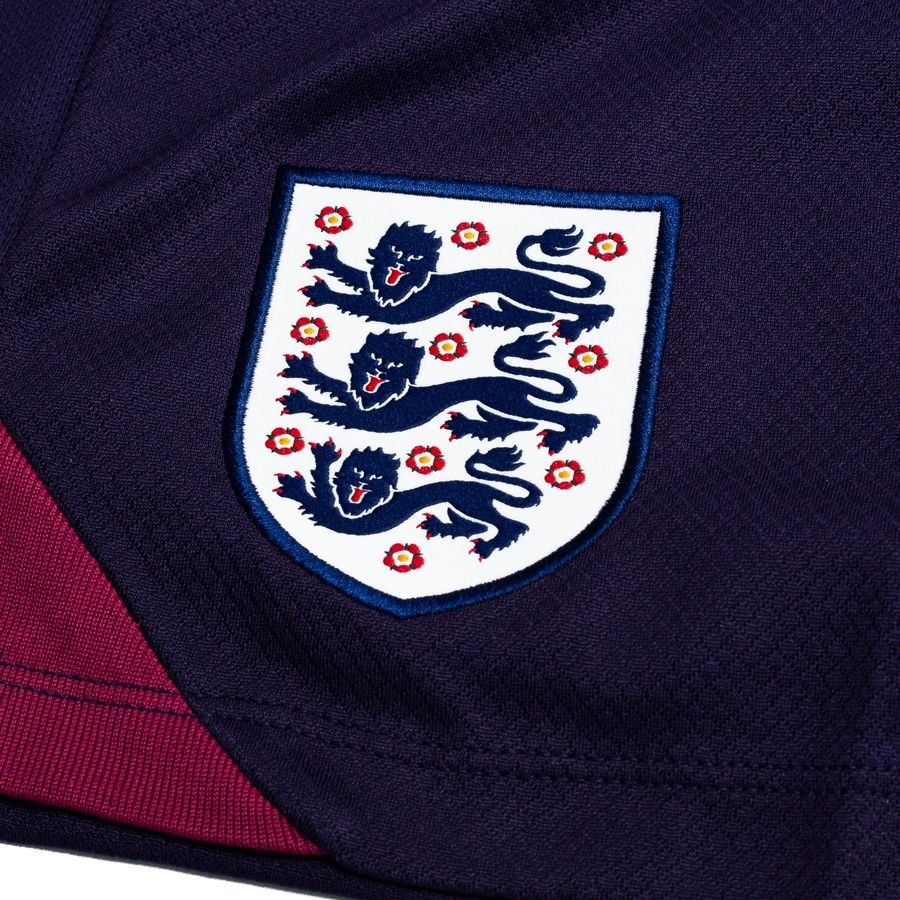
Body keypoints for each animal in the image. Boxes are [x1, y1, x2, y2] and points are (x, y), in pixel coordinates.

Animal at [274, 440, 541, 559]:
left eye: (376, 477)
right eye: (358, 471)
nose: (362, 484)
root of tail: (486, 487)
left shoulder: (343, 519)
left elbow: (319, 496)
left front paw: (295, 486)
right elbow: (323, 489)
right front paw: (323, 458)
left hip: (469, 503)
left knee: (512, 525)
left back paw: (487, 546)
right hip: (461, 505)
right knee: (481, 526)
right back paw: (442, 526)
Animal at [277, 331, 599, 454]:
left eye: (395, 365)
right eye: (375, 358)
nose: (380, 372)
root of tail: (522, 384)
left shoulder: (373, 418)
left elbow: (332, 409)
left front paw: (301, 401)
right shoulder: (360, 400)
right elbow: (336, 387)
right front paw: (305, 370)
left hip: (506, 401)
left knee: (560, 418)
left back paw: (568, 433)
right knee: (527, 423)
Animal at [301, 223, 614, 343]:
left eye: (415, 257)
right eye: (396, 251)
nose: (400, 264)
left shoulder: (392, 309)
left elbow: (353, 300)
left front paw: (324, 291)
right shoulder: (378, 290)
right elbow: (357, 277)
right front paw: (328, 261)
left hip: (528, 293)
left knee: (596, 308)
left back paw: (576, 326)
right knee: (543, 315)